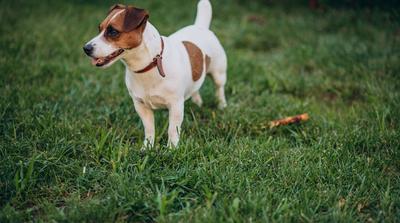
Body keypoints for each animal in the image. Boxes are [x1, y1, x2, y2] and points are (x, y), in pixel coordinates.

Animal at [82, 0, 227, 149]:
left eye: (113, 31)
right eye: (99, 29)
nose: (86, 48)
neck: (148, 66)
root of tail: (200, 26)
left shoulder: (176, 106)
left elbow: (172, 129)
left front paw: (172, 148)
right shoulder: (140, 105)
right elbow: (149, 128)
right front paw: (147, 147)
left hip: (219, 73)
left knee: (219, 88)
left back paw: (221, 105)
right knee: (195, 87)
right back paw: (198, 102)